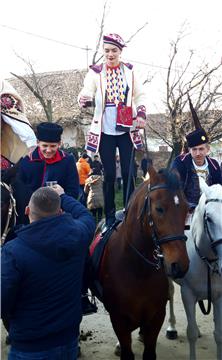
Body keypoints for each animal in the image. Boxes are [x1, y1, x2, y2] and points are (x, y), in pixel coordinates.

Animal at [95, 167, 189, 360]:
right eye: (159, 208)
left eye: (186, 209)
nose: (180, 264)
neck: (138, 269)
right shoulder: (119, 319)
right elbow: (126, 350)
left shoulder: (156, 317)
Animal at [166, 180, 222, 360]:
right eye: (209, 218)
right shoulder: (187, 294)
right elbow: (190, 333)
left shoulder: (219, 296)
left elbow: (218, 334)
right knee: (170, 293)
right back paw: (171, 328)